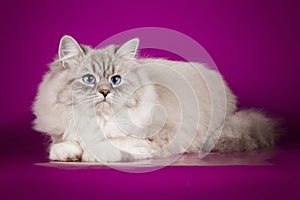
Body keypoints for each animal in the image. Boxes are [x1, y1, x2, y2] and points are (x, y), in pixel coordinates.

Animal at [31, 34, 278, 162]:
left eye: (115, 80)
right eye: (89, 79)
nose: (104, 92)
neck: (99, 119)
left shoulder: (156, 139)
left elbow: (114, 142)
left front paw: (91, 154)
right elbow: (63, 144)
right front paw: (68, 153)